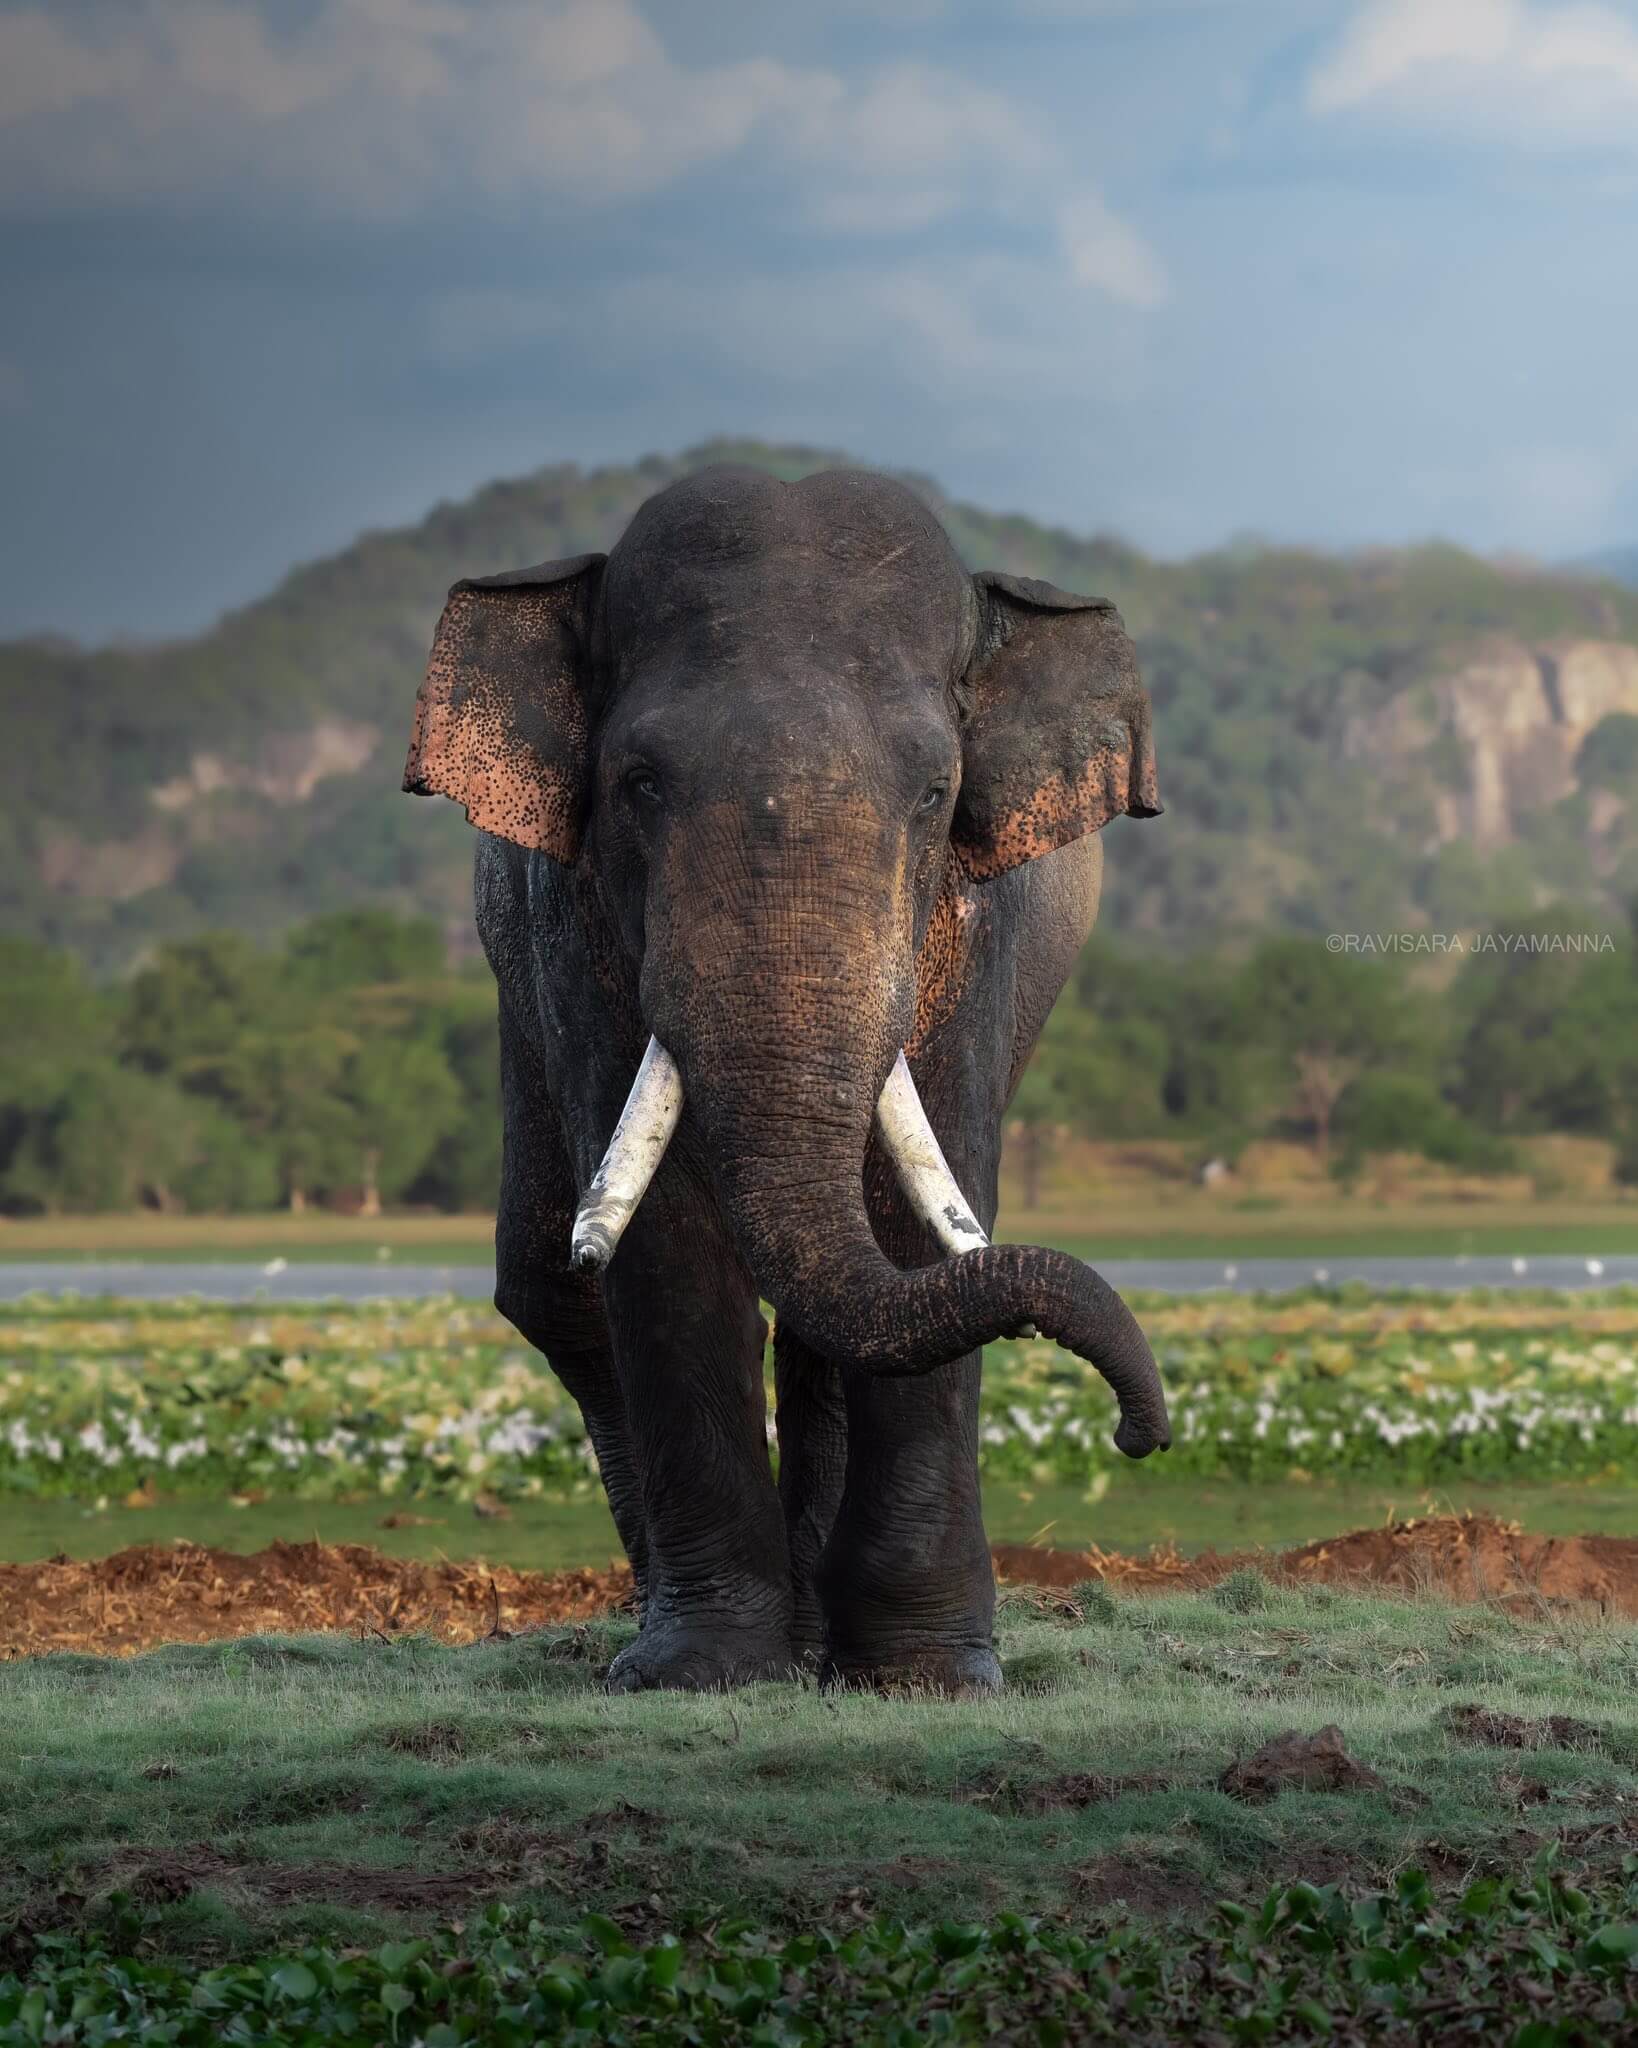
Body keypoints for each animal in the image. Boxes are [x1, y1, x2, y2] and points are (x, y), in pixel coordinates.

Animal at [402, 463, 1168, 1694]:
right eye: (638, 782)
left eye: (936, 791)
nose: (1138, 1432)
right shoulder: (569, 919)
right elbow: (659, 1235)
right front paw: (698, 1669)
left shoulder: (976, 927)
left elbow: (921, 1212)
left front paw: (925, 1675)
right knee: (554, 1293)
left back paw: (823, 1641)